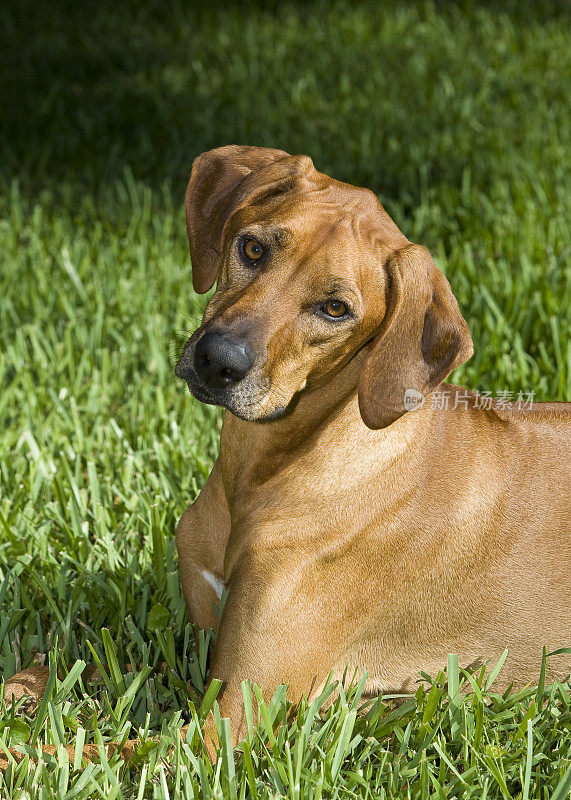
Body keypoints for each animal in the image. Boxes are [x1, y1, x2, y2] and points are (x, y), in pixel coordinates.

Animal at [2, 145, 568, 768]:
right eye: (253, 248)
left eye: (335, 307)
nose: (218, 361)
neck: (258, 473)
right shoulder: (193, 644)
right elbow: (98, 665)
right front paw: (23, 686)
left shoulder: (225, 724)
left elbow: (64, 752)